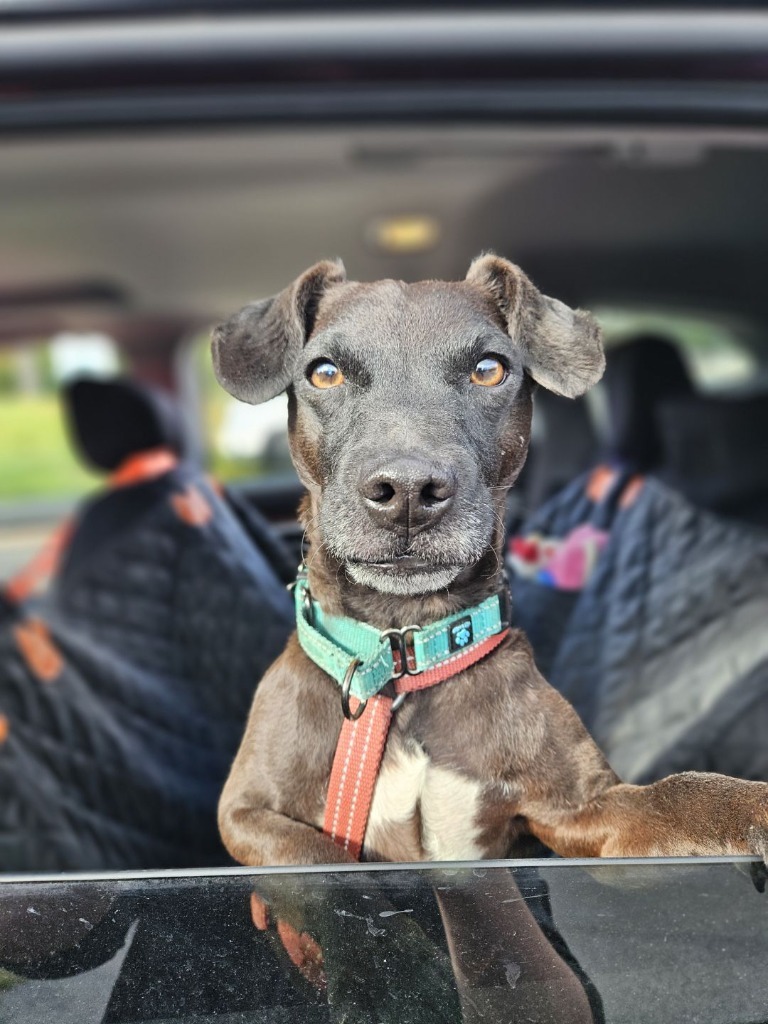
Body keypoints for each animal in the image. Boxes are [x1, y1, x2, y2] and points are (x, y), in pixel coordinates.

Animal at [211, 253, 768, 1015]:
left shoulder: (582, 811)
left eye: (489, 370)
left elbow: (683, 792)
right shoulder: (244, 814)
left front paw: (754, 805)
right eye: (323, 373)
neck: (403, 657)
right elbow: (328, 868)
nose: (407, 490)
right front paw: (405, 974)